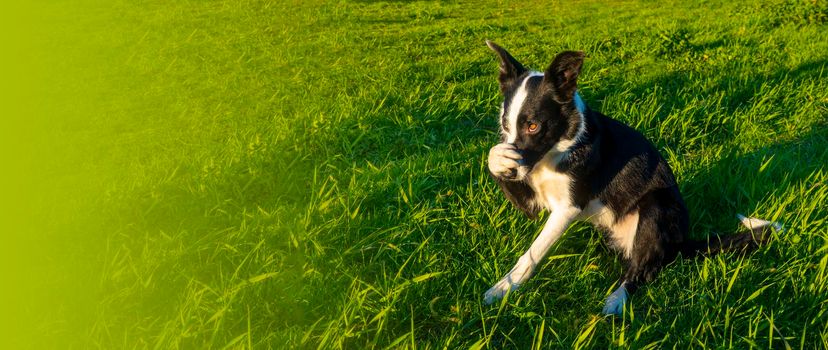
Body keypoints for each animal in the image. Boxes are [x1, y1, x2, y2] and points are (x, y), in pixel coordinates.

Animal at [482, 41, 780, 314]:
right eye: (505, 125)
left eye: (533, 126)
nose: (513, 173)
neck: (556, 150)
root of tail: (680, 243)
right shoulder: (532, 201)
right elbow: (494, 156)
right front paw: (500, 158)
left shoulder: (567, 208)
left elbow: (533, 252)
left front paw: (504, 287)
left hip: (656, 205)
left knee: (642, 271)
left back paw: (617, 301)